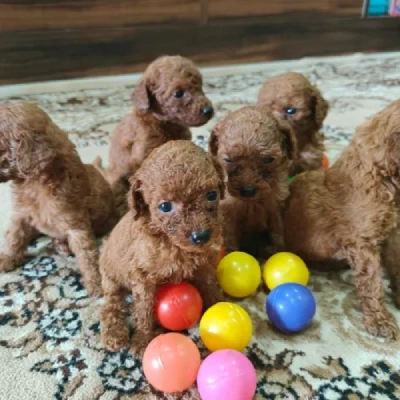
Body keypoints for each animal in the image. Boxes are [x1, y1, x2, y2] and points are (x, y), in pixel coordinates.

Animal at [0, 102, 117, 296]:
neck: (33, 183)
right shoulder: (20, 215)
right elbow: (14, 237)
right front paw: (7, 258)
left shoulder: (76, 225)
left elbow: (87, 255)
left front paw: (97, 282)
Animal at [100, 139, 225, 354]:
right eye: (165, 206)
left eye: (212, 195)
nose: (201, 236)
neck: (172, 242)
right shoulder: (141, 275)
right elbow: (144, 308)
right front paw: (143, 339)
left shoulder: (204, 265)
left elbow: (210, 286)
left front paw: (218, 307)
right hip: (110, 279)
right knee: (110, 304)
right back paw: (114, 333)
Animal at [209, 104, 296, 258]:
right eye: (228, 160)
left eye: (269, 159)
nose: (248, 191)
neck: (253, 202)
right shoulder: (228, 213)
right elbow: (230, 238)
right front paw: (231, 253)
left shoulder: (276, 206)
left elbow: (278, 232)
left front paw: (279, 250)